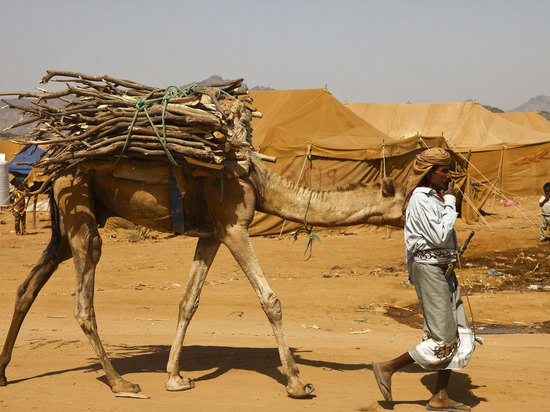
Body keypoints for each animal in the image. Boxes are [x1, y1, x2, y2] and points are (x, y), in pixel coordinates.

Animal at [0, 156, 406, 398]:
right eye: (404, 203)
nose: (413, 216)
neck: (259, 182)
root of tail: (51, 168)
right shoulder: (234, 226)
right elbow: (270, 300)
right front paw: (296, 382)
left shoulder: (211, 234)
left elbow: (188, 302)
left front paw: (176, 377)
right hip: (80, 211)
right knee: (83, 302)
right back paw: (121, 382)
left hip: (67, 224)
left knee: (27, 286)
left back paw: (4, 372)